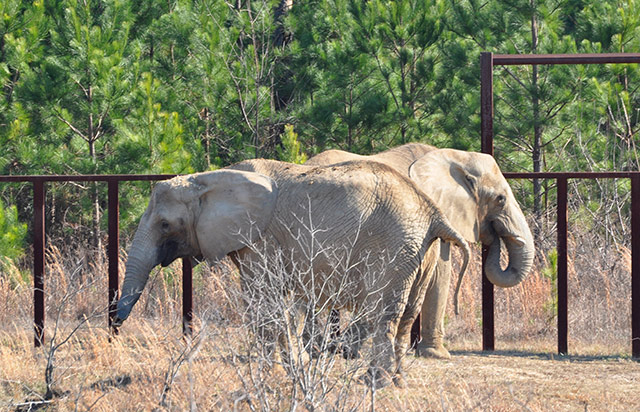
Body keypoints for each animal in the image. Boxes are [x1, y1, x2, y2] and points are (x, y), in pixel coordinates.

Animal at [114, 159, 470, 390]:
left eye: (164, 225)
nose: (115, 323)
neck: (206, 179)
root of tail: (433, 212)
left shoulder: (261, 241)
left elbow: (263, 302)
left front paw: (269, 376)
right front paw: (288, 370)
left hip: (393, 246)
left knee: (384, 312)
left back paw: (373, 383)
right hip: (419, 253)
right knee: (407, 313)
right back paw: (397, 382)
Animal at [306, 143, 536, 358]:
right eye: (500, 199)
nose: (494, 233)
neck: (458, 157)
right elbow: (440, 273)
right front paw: (439, 355)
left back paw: (319, 350)